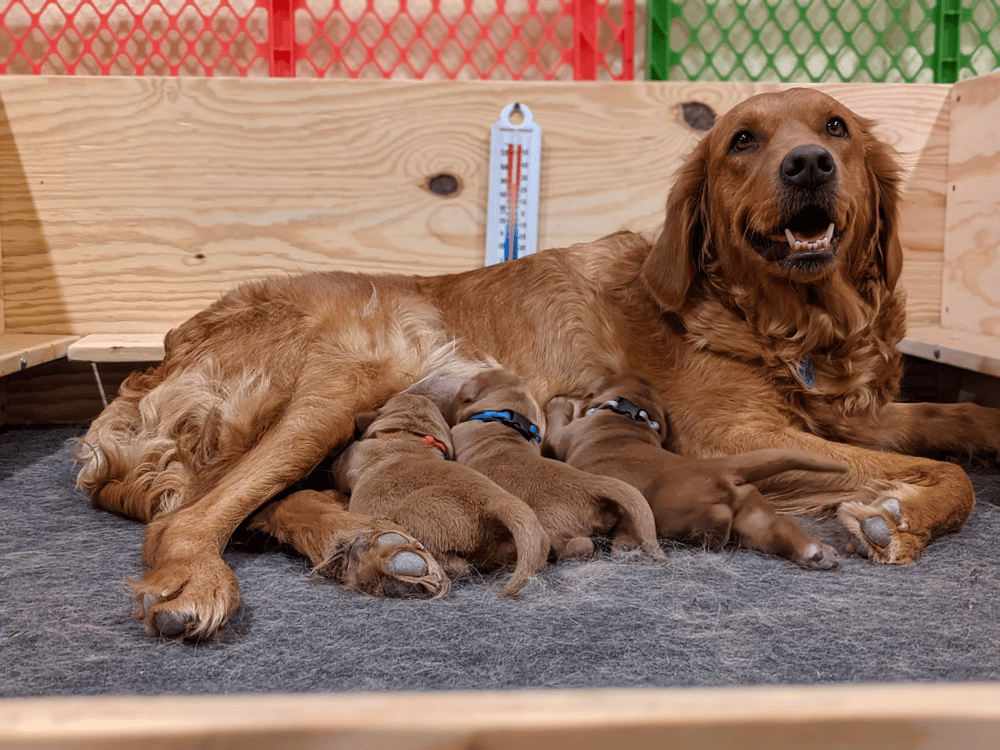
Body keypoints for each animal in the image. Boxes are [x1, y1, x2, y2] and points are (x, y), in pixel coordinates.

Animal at [544, 376, 848, 568]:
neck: (628, 416)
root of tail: (722, 468)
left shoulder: (563, 435)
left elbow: (555, 422)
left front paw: (557, 402)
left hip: (677, 511)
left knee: (716, 522)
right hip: (753, 515)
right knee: (779, 527)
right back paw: (816, 553)